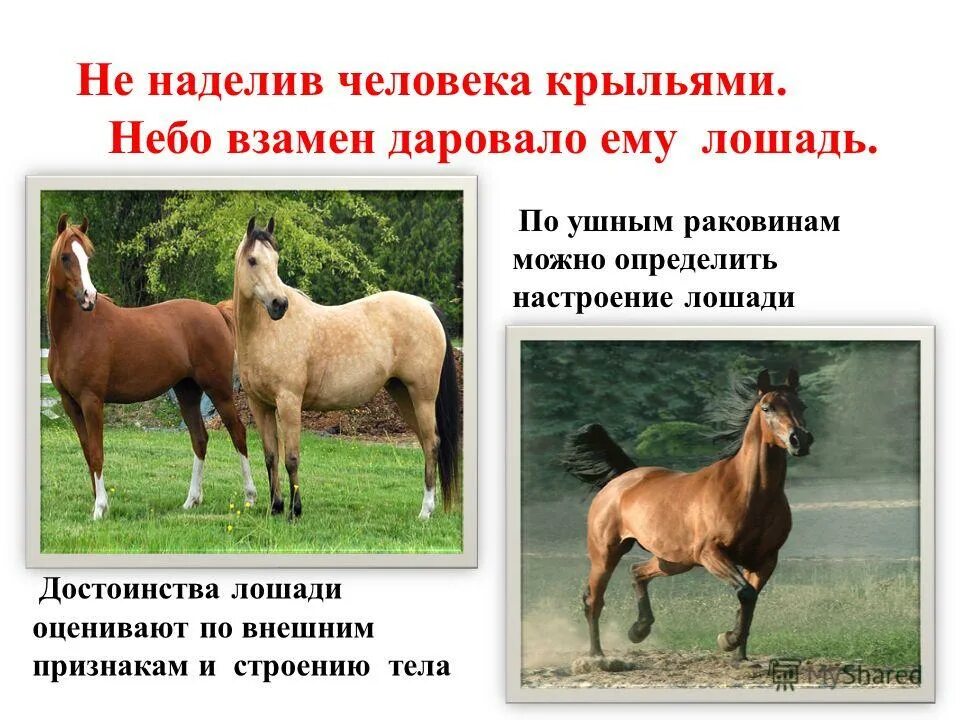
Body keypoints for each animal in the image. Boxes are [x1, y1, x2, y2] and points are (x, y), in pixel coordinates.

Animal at [46, 214, 256, 519]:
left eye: (87, 256)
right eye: (65, 257)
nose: (88, 297)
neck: (75, 331)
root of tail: (216, 311)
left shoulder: (91, 400)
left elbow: (97, 453)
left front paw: (100, 508)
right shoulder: (70, 403)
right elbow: (87, 452)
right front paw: (97, 502)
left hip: (219, 390)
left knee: (237, 433)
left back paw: (250, 497)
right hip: (187, 392)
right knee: (200, 438)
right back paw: (191, 500)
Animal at [232, 217, 461, 521]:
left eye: (277, 260)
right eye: (253, 260)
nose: (279, 304)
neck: (266, 331)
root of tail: (427, 306)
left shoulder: (289, 402)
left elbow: (291, 458)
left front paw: (295, 511)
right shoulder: (260, 405)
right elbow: (271, 456)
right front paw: (276, 507)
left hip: (422, 396)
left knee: (432, 443)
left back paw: (425, 511)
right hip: (404, 395)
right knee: (427, 443)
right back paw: (428, 507)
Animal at [561, 369, 813, 661]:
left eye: (802, 405)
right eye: (767, 407)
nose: (800, 440)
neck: (747, 492)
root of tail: (621, 479)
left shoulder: (765, 560)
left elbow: (749, 600)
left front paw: (739, 655)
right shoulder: (710, 553)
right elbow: (745, 593)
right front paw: (728, 640)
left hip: (674, 560)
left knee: (638, 572)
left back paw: (639, 630)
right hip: (606, 553)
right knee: (594, 599)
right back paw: (597, 655)